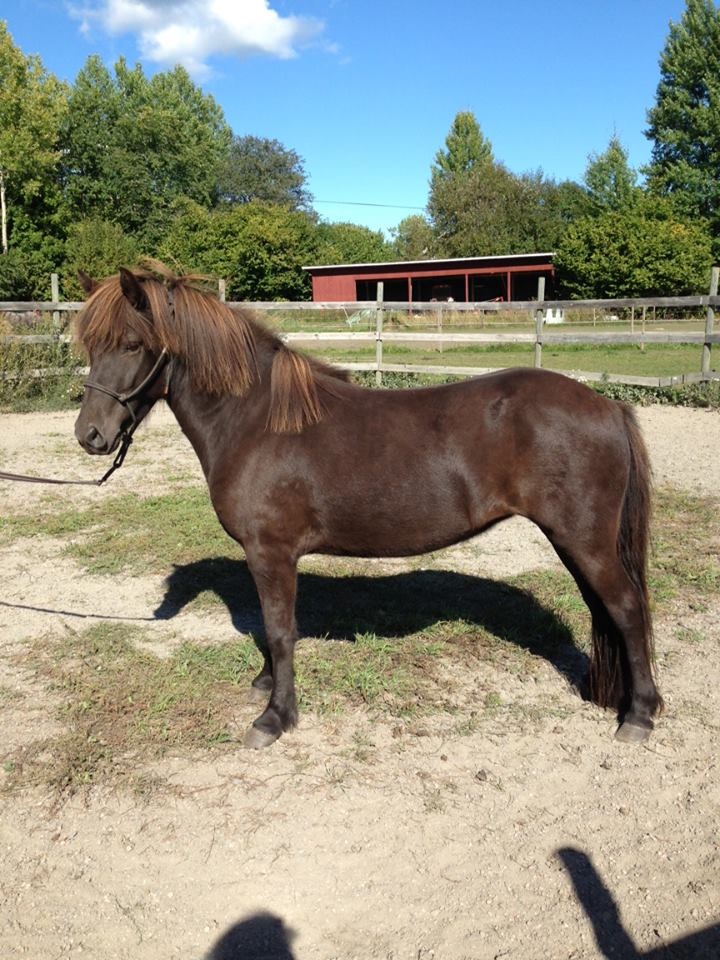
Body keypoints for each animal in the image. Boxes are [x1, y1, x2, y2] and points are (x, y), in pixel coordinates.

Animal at [73, 263, 662, 749]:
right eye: (90, 345)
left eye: (132, 344)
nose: (90, 435)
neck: (255, 420)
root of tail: (608, 405)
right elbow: (270, 628)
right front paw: (265, 684)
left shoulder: (271, 552)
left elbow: (280, 630)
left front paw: (275, 717)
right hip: (575, 543)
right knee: (602, 610)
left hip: (584, 541)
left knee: (626, 609)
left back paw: (639, 715)